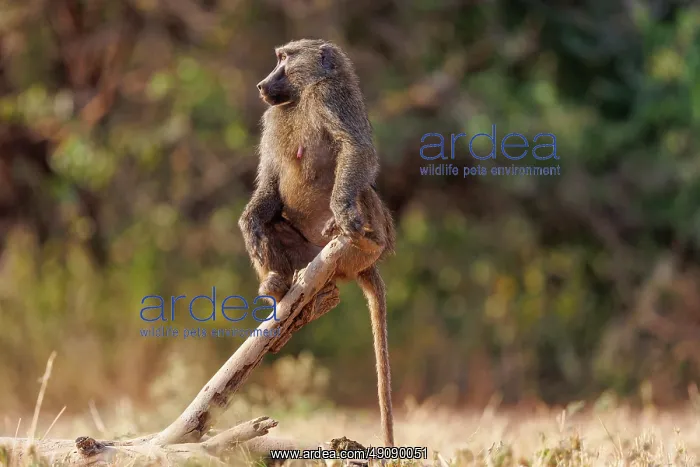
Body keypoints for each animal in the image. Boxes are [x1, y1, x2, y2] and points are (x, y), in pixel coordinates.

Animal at [238, 39, 396, 447]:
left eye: (284, 58)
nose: (262, 85)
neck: (301, 97)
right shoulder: (272, 120)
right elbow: (268, 184)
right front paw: (250, 223)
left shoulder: (330, 98)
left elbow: (356, 149)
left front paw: (340, 211)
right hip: (306, 256)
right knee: (274, 228)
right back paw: (277, 285)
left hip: (365, 241)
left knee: (363, 194)